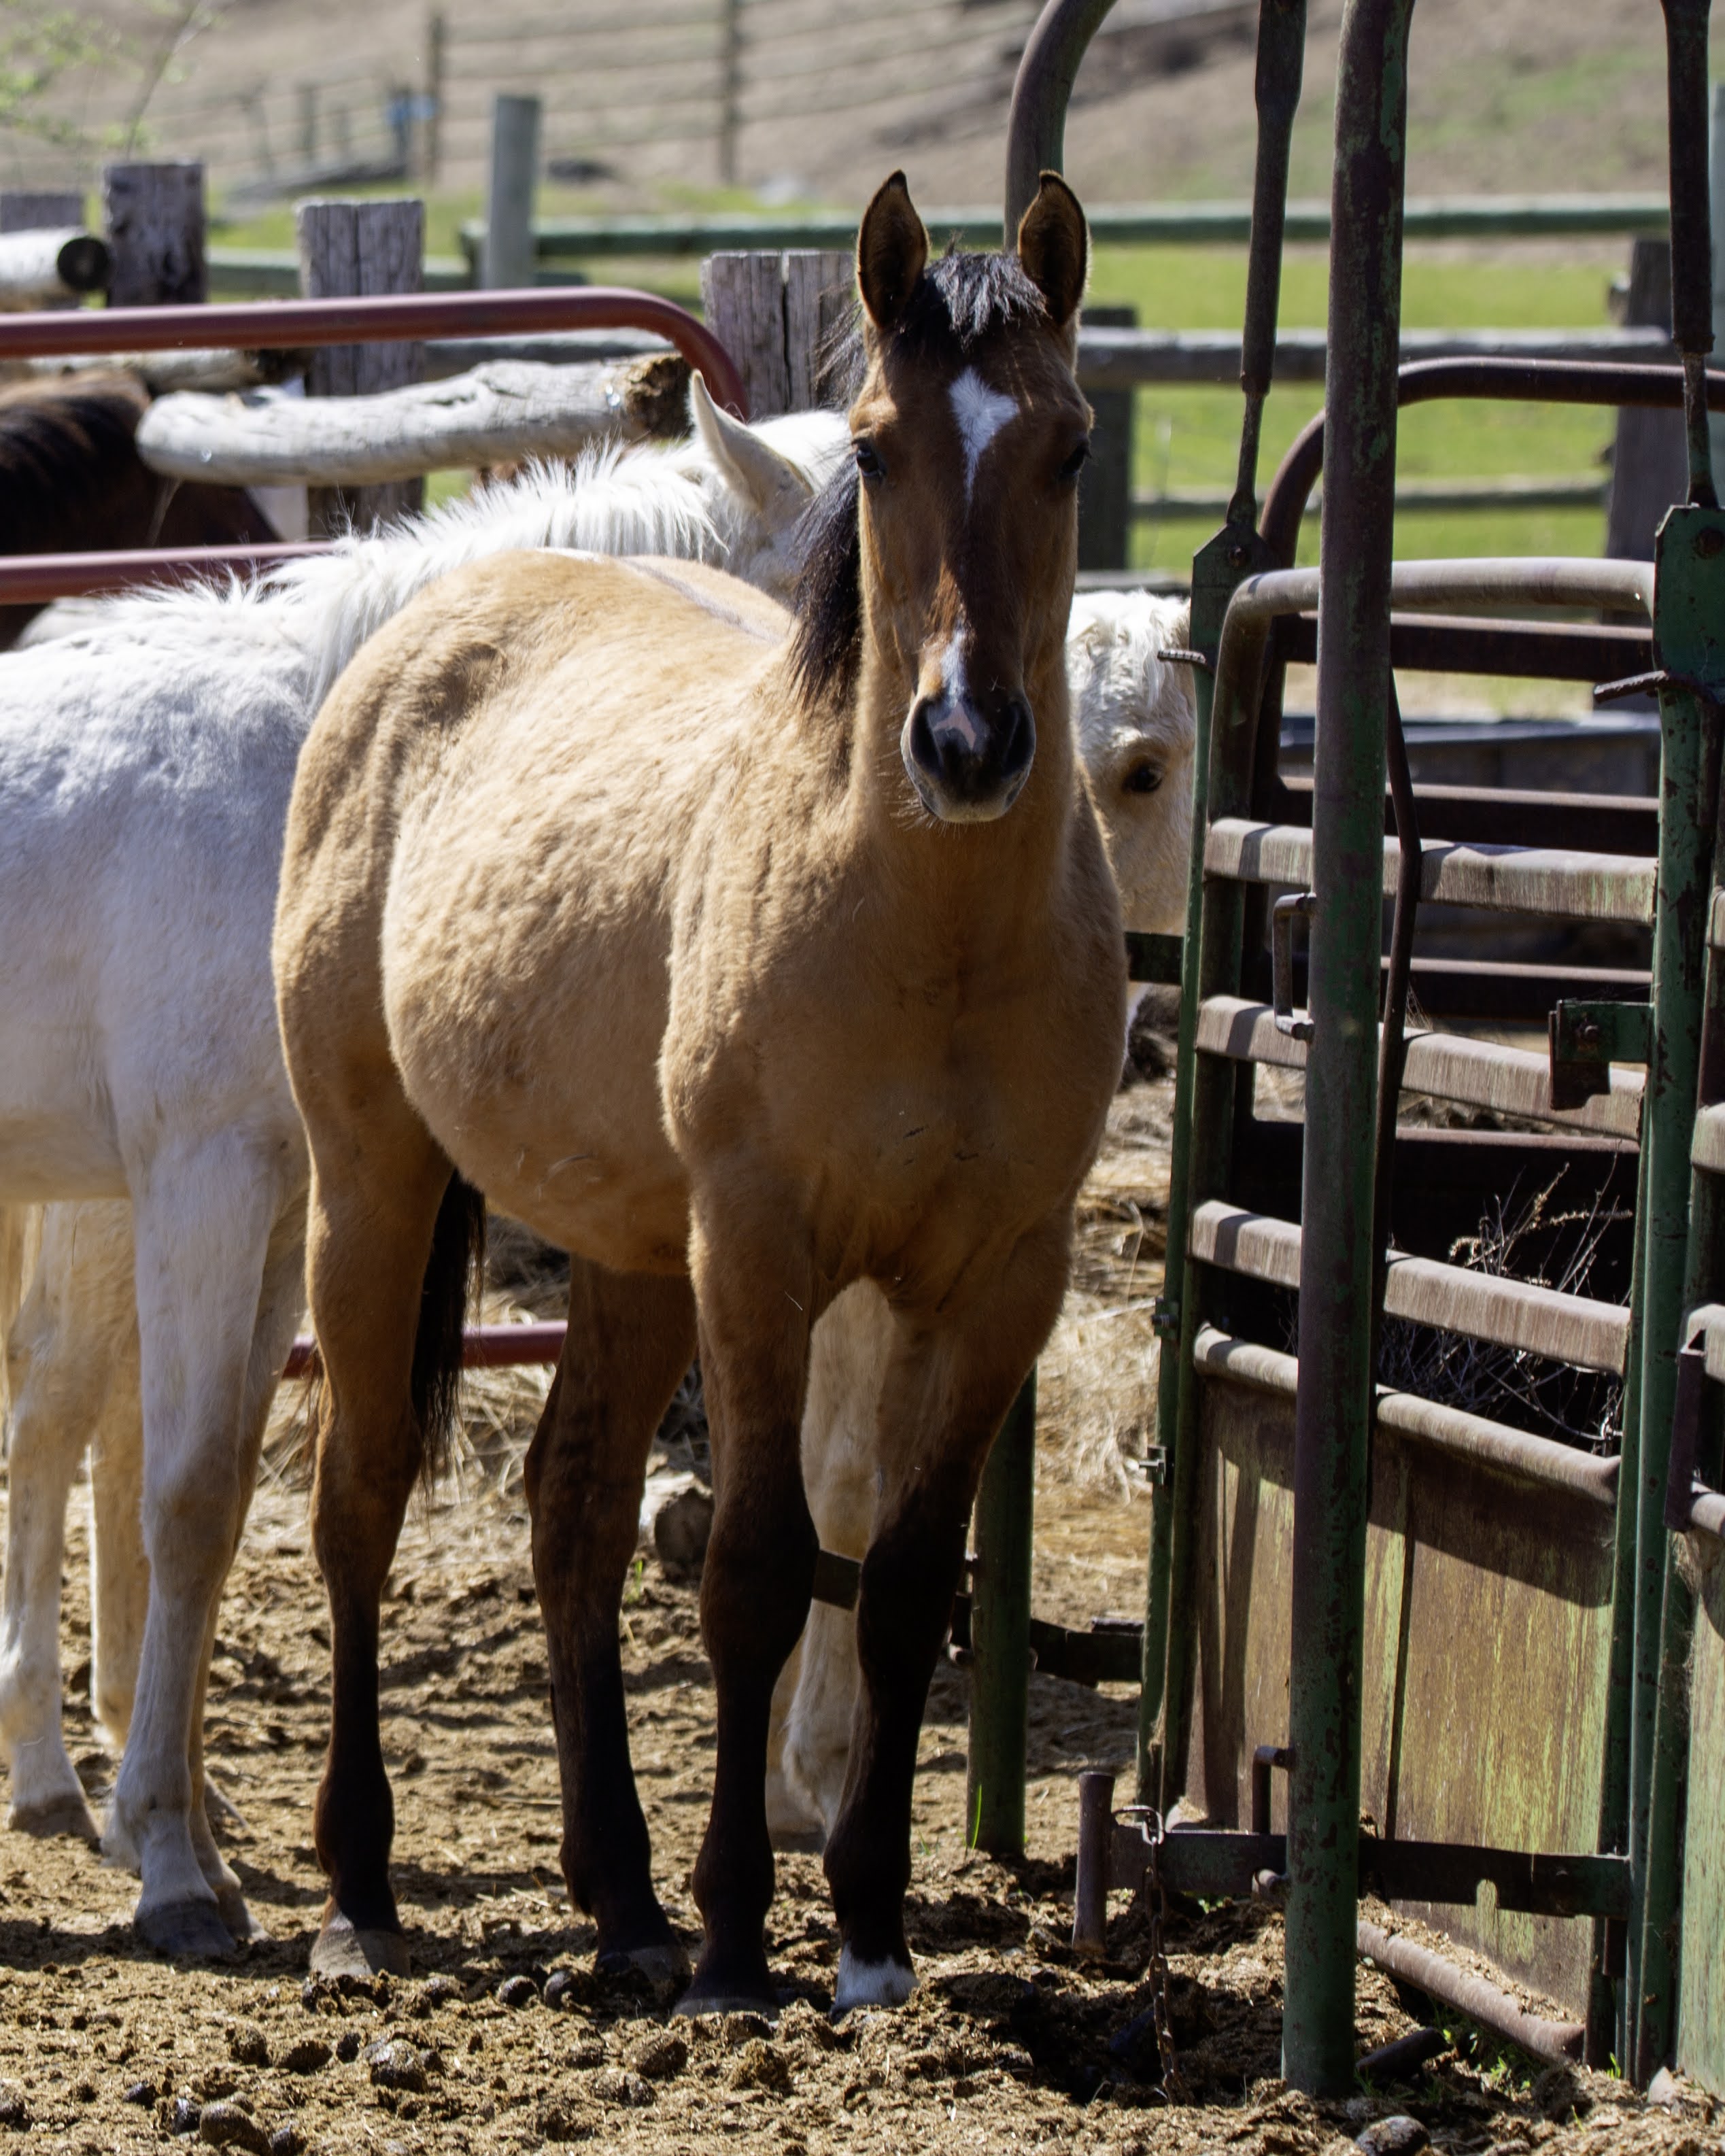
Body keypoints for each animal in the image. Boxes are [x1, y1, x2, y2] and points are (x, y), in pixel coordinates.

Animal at [0, 400, 847, 1950]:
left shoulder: (289, 1201)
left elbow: (206, 1507)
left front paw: (188, 1836)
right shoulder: (205, 1179)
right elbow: (186, 1491)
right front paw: (172, 1870)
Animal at [272, 170, 1124, 2015]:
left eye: (1073, 444)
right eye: (874, 445)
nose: (967, 743)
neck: (926, 933)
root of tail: (416, 632)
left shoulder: (995, 1281)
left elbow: (899, 1585)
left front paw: (866, 1929)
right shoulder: (760, 1253)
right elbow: (751, 1570)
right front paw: (742, 1932)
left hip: (627, 1257)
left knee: (572, 1511)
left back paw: (621, 1899)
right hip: (375, 1183)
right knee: (361, 1498)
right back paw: (362, 1896)